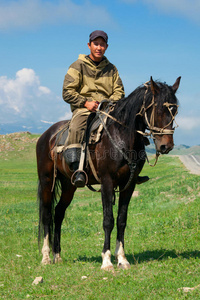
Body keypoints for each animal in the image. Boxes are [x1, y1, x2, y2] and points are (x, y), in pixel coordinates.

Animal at [36, 76, 181, 270]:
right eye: (157, 109)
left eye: (175, 110)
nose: (166, 146)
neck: (122, 137)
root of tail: (46, 136)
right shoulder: (107, 182)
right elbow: (108, 220)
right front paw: (106, 260)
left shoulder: (129, 184)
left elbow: (121, 220)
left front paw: (122, 259)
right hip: (46, 182)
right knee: (46, 215)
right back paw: (45, 257)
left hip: (69, 185)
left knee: (58, 213)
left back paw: (57, 256)